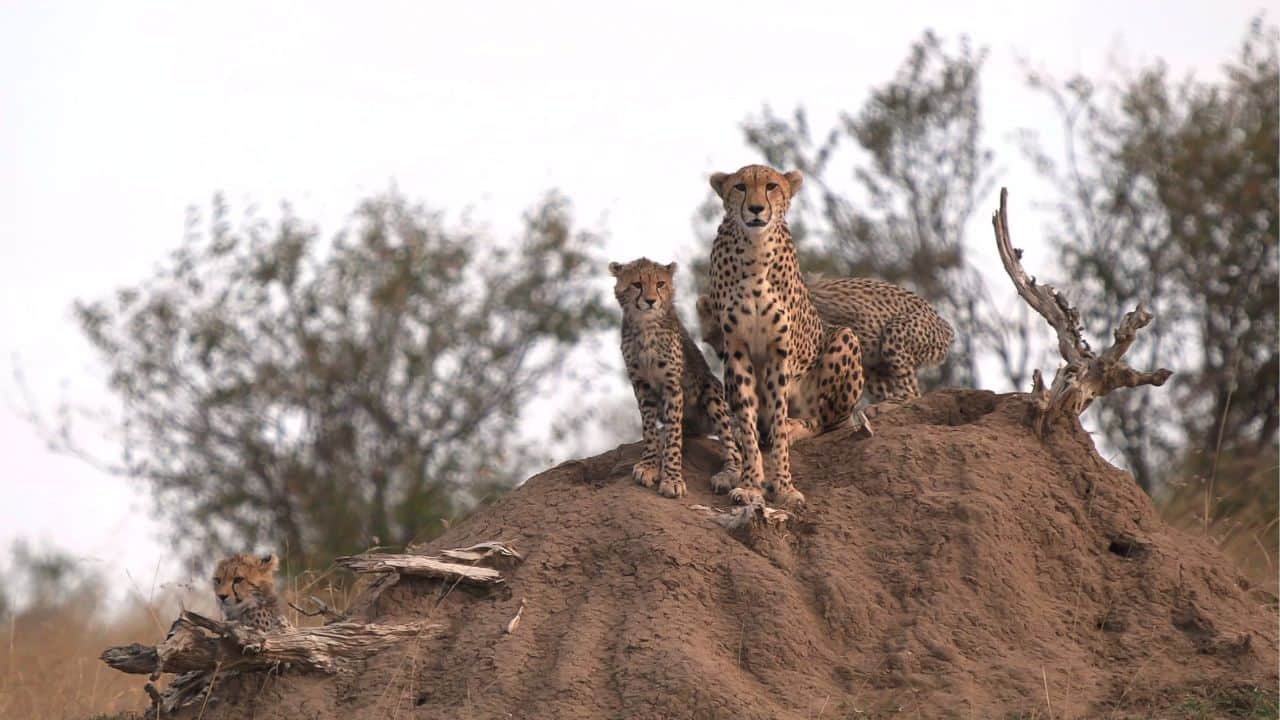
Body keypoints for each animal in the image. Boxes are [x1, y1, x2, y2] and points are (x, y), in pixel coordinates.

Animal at [611, 257, 743, 498]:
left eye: (660, 284)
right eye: (637, 284)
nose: (650, 301)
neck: (646, 326)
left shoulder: (672, 386)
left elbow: (674, 437)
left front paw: (672, 479)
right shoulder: (641, 385)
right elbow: (649, 430)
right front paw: (649, 465)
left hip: (713, 394)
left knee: (733, 447)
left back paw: (727, 475)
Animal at [697, 276, 953, 407]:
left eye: (720, 333)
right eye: (709, 339)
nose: (721, 354)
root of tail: (945, 324)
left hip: (896, 335)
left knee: (913, 391)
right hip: (873, 366)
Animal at [705, 164, 865, 508]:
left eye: (771, 186)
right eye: (740, 186)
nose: (755, 208)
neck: (754, 251)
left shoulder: (780, 354)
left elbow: (778, 420)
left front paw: (783, 486)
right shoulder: (736, 348)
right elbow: (749, 423)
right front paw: (750, 483)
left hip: (844, 338)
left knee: (825, 421)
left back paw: (796, 427)